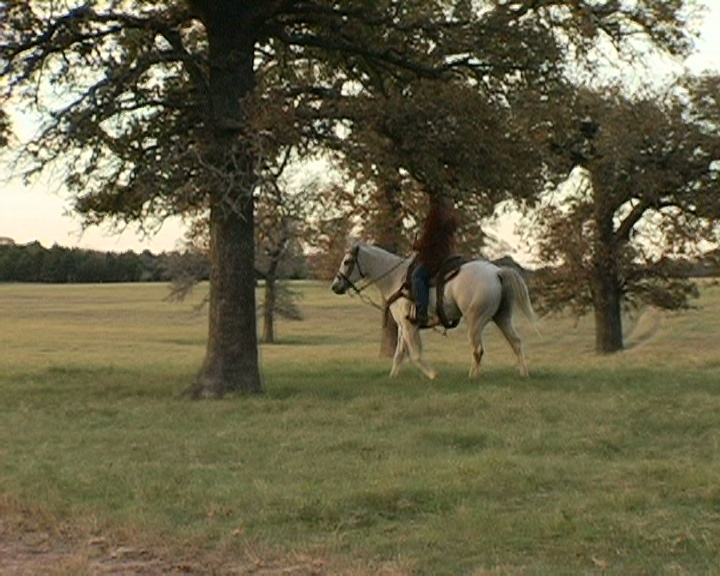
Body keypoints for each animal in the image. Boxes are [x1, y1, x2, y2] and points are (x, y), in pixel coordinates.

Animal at [330, 242, 536, 380]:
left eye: (347, 261)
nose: (335, 286)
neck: (396, 279)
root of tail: (496, 273)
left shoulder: (409, 326)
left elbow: (415, 354)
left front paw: (433, 375)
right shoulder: (404, 327)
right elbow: (399, 355)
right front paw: (392, 377)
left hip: (475, 321)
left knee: (478, 349)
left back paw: (472, 377)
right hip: (502, 317)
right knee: (516, 343)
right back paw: (524, 374)